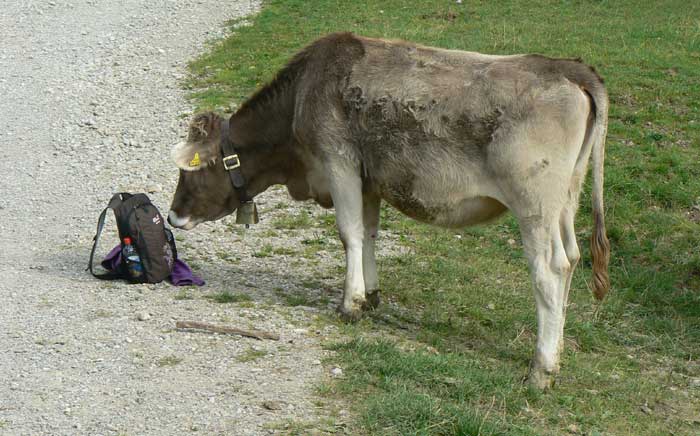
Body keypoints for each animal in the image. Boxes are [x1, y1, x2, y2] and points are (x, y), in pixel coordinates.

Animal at [167, 32, 608, 390]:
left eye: (191, 171)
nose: (172, 216)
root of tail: (570, 68)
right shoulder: (368, 179)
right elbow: (369, 233)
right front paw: (372, 294)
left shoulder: (339, 162)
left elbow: (349, 232)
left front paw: (350, 304)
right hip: (567, 201)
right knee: (572, 258)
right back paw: (558, 350)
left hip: (535, 205)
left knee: (549, 270)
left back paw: (541, 368)